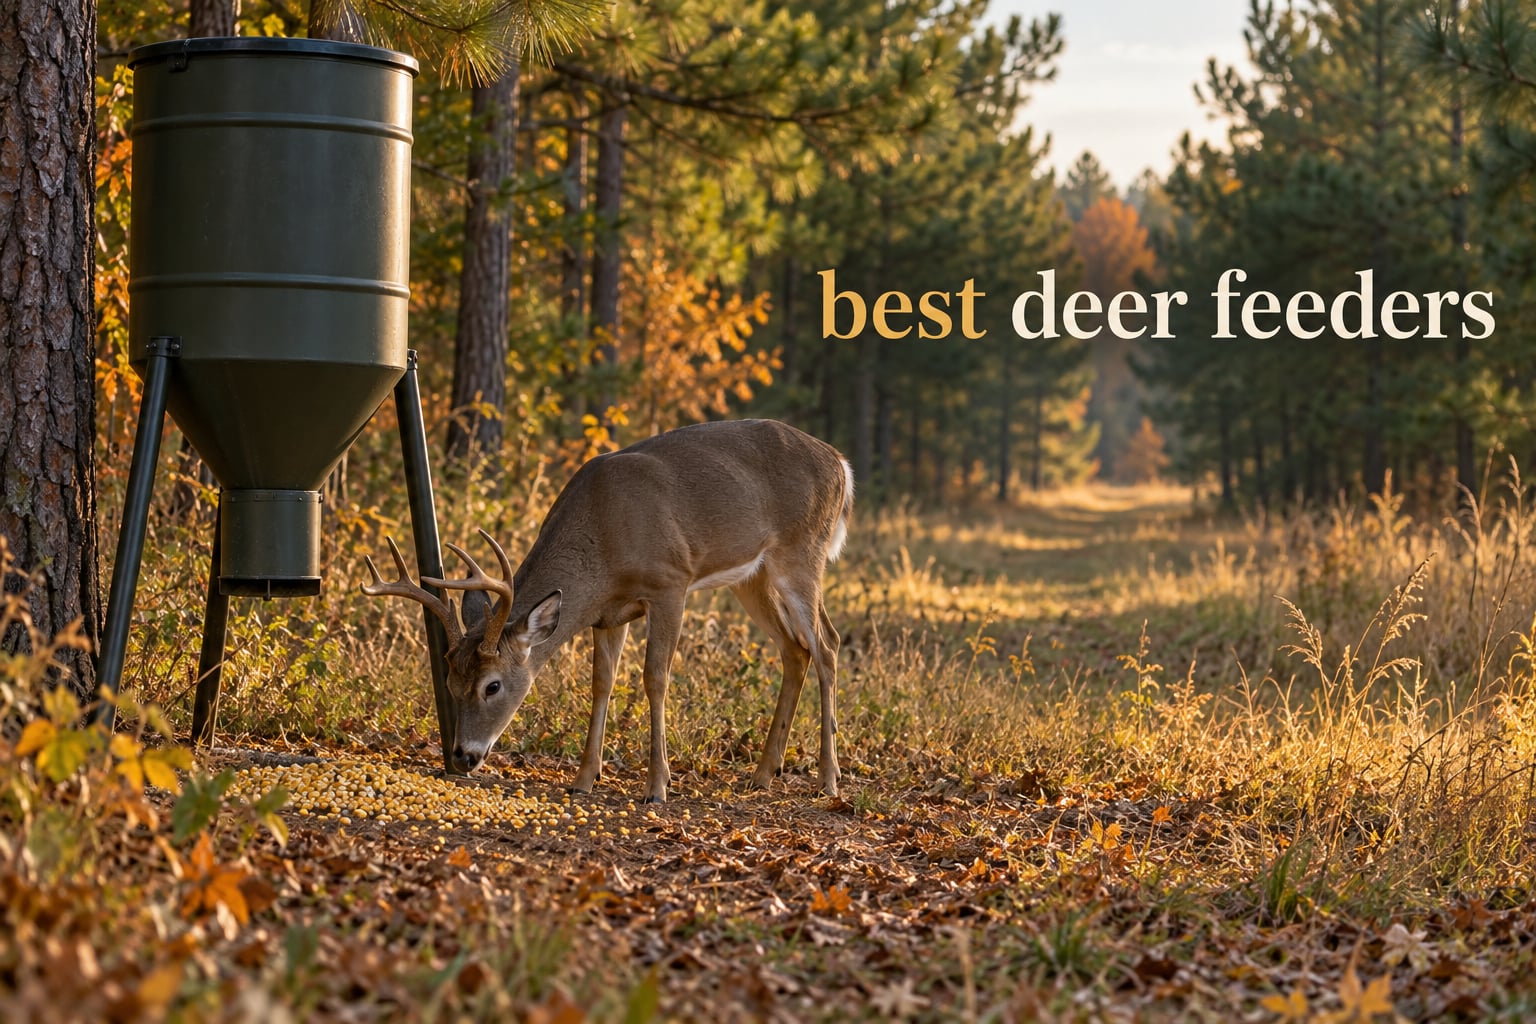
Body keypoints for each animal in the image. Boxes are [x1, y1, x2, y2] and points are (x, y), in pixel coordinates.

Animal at [361, 419, 853, 803]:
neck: (604, 542)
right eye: (449, 682)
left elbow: (655, 678)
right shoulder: (608, 614)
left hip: (801, 551)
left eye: (492, 686)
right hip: (753, 576)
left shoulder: (671, 582)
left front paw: (657, 786)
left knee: (828, 644)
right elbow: (602, 683)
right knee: (795, 649)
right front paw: (584, 779)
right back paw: (763, 774)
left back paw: (828, 779)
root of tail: (841, 464)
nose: (464, 756)